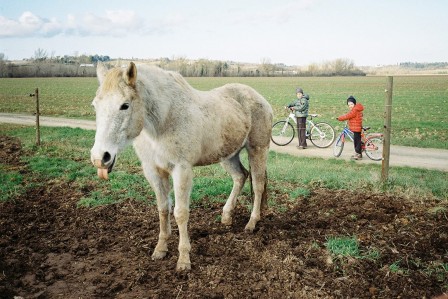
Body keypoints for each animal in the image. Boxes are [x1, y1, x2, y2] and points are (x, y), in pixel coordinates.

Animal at [90, 62, 272, 270]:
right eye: (95, 106)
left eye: (125, 105)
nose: (100, 157)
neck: (164, 121)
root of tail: (260, 98)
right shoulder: (153, 171)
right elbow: (163, 209)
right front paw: (160, 249)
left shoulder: (181, 170)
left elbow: (180, 213)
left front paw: (184, 259)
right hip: (228, 155)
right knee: (240, 176)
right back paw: (226, 217)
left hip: (257, 150)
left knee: (257, 186)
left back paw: (251, 223)